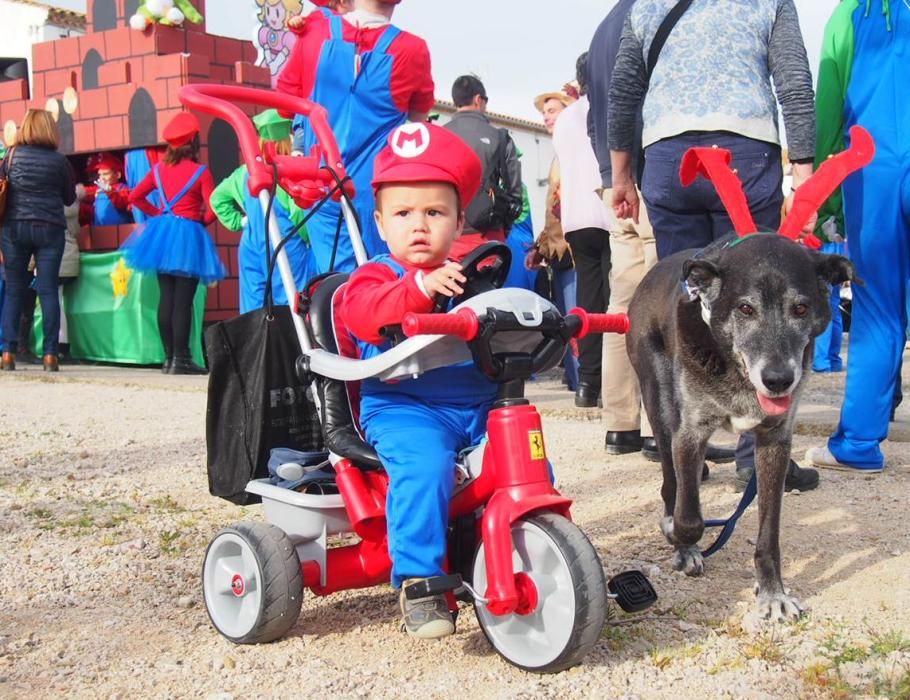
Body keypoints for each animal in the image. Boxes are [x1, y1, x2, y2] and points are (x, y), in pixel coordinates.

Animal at [628, 235, 856, 624]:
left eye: (800, 309)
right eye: (746, 309)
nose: (778, 380)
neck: (735, 369)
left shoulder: (774, 441)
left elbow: (769, 534)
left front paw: (773, 593)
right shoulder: (690, 433)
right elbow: (690, 517)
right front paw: (683, 542)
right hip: (659, 403)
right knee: (671, 482)